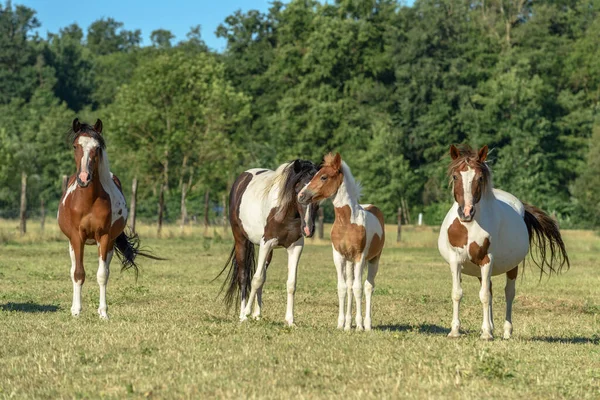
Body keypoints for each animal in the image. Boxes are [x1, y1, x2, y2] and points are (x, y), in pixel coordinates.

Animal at [56, 118, 158, 318]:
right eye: (75, 146)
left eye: (97, 147)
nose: (84, 178)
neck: (88, 201)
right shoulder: (77, 238)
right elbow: (78, 273)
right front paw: (76, 311)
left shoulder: (103, 238)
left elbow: (102, 275)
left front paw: (103, 312)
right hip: (72, 243)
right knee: (73, 270)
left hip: (109, 244)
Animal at [216, 159, 318, 324]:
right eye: (300, 193)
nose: (308, 229)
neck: (285, 212)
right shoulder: (266, 243)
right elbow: (256, 279)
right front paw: (246, 314)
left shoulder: (295, 247)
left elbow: (291, 283)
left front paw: (290, 320)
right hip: (241, 240)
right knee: (244, 276)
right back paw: (242, 313)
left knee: (263, 274)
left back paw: (257, 315)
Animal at [298, 153, 384, 332]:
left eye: (323, 177)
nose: (301, 196)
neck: (347, 223)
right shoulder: (338, 256)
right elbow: (343, 288)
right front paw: (341, 324)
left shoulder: (359, 257)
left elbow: (358, 288)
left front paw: (359, 326)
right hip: (350, 262)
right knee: (350, 285)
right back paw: (348, 324)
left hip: (374, 259)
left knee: (368, 287)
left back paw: (367, 324)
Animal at [438, 145, 568, 340]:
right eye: (455, 176)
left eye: (480, 178)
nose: (466, 212)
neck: (469, 227)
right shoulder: (456, 260)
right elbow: (457, 293)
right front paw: (455, 331)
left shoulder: (487, 260)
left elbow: (484, 295)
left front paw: (486, 334)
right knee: (490, 290)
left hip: (511, 267)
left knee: (508, 293)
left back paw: (506, 331)